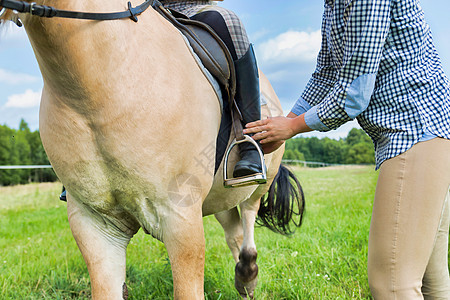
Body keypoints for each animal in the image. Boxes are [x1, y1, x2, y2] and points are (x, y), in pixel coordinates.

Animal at [1, 1, 304, 298]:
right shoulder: (94, 224)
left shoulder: (180, 217)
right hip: (218, 194)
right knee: (233, 229)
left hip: (259, 181)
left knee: (249, 217)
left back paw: (248, 272)